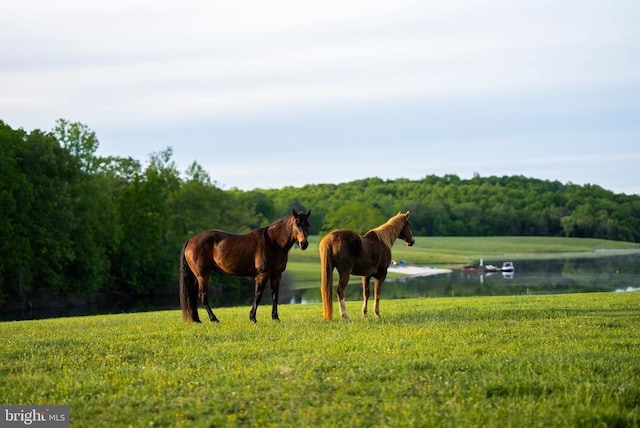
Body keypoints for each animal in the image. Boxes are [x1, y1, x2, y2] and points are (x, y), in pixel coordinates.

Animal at [179, 209, 312, 322]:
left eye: (308, 225)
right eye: (296, 224)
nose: (304, 244)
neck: (273, 243)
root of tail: (191, 240)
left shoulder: (276, 275)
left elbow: (275, 296)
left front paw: (275, 318)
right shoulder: (262, 275)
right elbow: (258, 295)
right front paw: (252, 318)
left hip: (197, 276)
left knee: (192, 295)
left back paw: (197, 319)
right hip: (203, 275)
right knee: (203, 296)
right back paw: (214, 319)